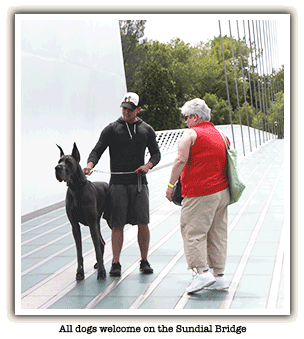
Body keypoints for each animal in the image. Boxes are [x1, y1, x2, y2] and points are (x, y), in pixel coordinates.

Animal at [55, 142, 108, 280]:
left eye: (68, 162)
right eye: (59, 161)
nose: (57, 168)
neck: (76, 188)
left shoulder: (91, 224)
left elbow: (96, 248)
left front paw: (102, 272)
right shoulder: (75, 226)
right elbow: (79, 251)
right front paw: (80, 272)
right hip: (97, 222)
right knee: (102, 242)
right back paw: (97, 264)